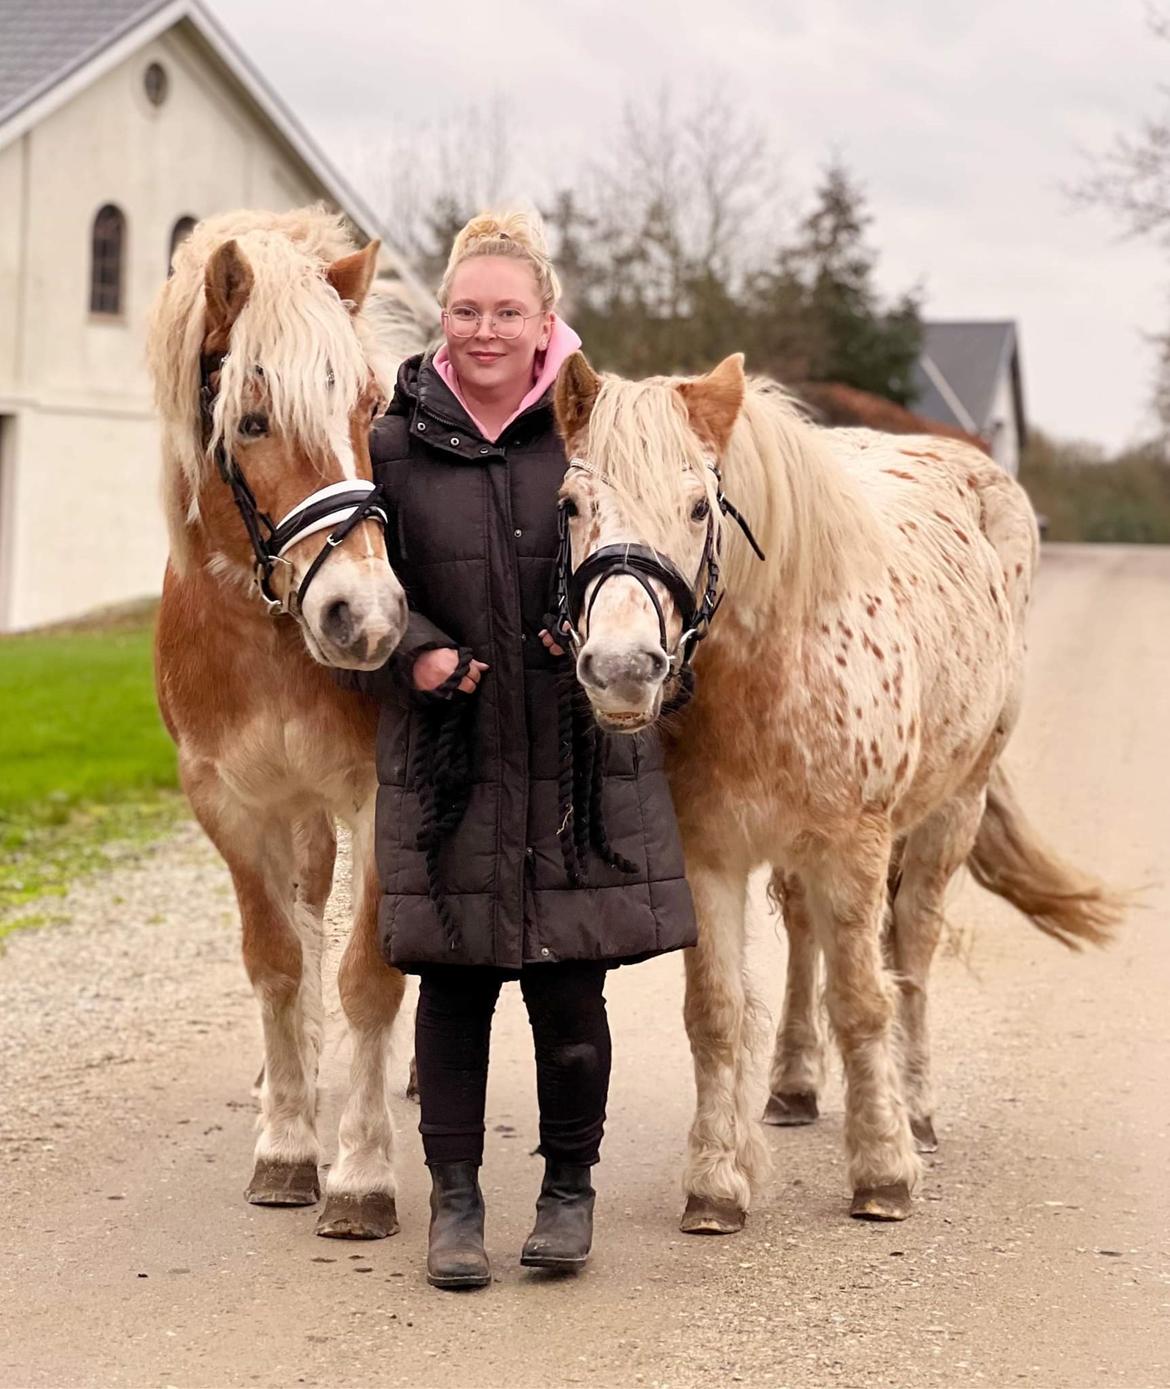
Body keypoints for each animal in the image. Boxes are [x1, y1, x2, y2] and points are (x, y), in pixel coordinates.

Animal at [147, 205, 425, 1238]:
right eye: (253, 421)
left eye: (368, 411)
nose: (367, 617)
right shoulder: (231, 803)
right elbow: (276, 959)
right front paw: (287, 1143)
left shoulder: (387, 795)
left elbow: (369, 973)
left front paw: (361, 1171)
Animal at [553, 352, 1117, 1233]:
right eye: (572, 505)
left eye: (698, 506)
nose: (620, 668)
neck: (770, 659)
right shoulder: (710, 855)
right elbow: (716, 1010)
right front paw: (716, 1180)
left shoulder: (855, 845)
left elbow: (861, 999)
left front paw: (884, 1167)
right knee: (805, 936)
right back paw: (792, 1084)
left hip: (951, 813)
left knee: (910, 949)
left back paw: (915, 1106)